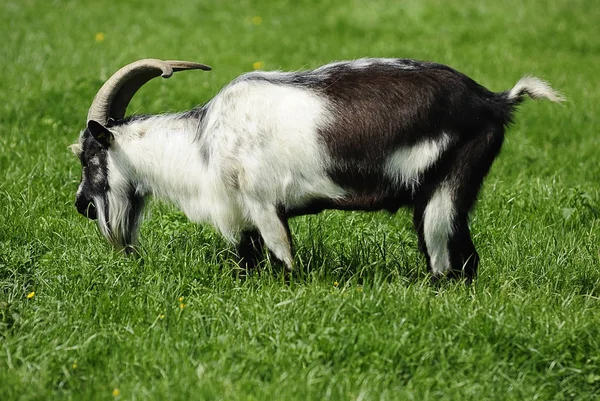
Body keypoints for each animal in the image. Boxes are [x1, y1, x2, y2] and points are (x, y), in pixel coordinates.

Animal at [72, 57, 564, 282]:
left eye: (86, 155)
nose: (80, 206)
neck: (203, 143)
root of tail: (494, 101)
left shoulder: (263, 206)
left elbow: (285, 262)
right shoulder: (245, 219)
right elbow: (248, 263)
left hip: (445, 192)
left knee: (447, 265)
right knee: (468, 259)